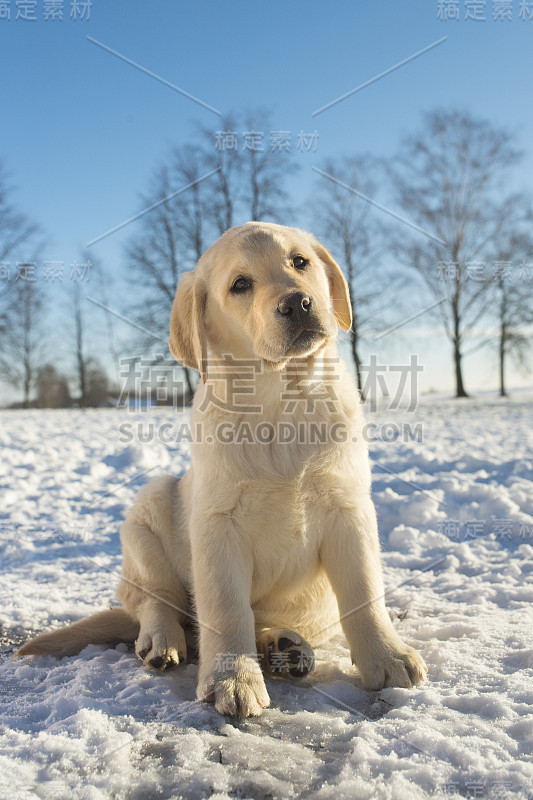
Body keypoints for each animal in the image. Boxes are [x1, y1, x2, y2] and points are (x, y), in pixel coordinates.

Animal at [16, 222, 426, 716]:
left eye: (300, 262)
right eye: (240, 285)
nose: (297, 303)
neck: (280, 400)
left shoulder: (350, 508)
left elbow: (364, 593)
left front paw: (388, 657)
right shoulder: (217, 524)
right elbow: (226, 609)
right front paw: (233, 679)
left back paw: (284, 646)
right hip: (149, 509)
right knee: (153, 601)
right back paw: (162, 640)